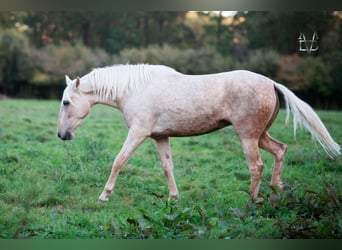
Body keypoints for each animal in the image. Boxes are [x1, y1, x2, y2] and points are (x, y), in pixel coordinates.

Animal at [56, 63, 340, 202]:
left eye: (66, 102)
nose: (61, 135)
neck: (136, 89)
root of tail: (271, 83)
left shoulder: (138, 133)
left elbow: (118, 162)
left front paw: (104, 196)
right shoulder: (160, 137)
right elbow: (167, 167)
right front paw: (173, 197)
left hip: (248, 137)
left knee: (256, 166)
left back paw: (252, 201)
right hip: (260, 136)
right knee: (281, 150)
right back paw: (276, 189)